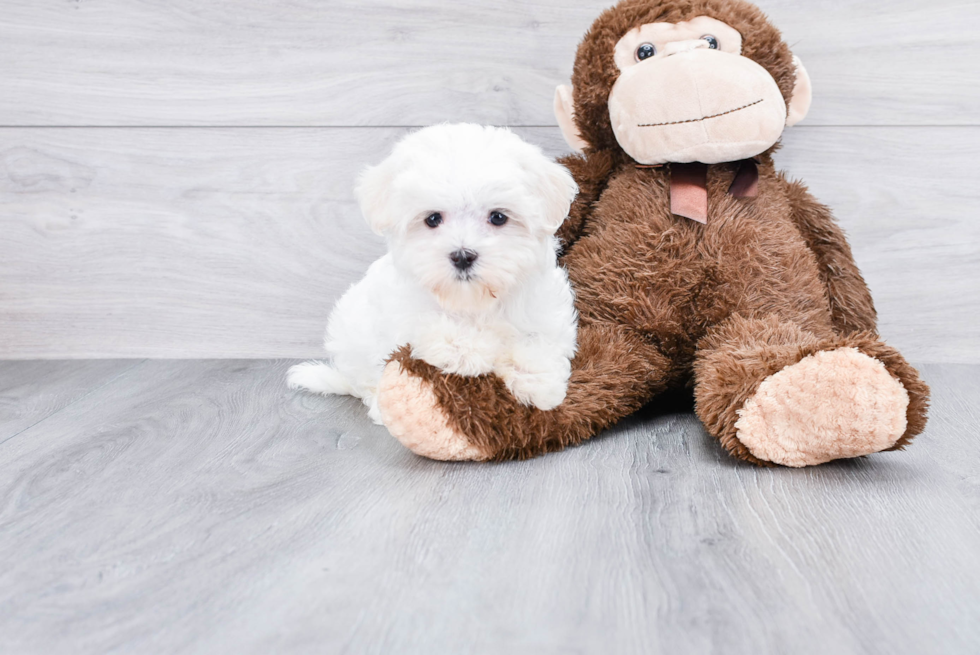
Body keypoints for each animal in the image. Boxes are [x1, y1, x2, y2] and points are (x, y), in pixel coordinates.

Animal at [290, 123, 580, 426]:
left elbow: (540, 340)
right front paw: (474, 351)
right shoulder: (405, 310)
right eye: (432, 219)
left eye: (498, 217)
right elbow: (434, 325)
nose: (462, 255)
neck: (472, 300)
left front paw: (537, 384)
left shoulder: (546, 308)